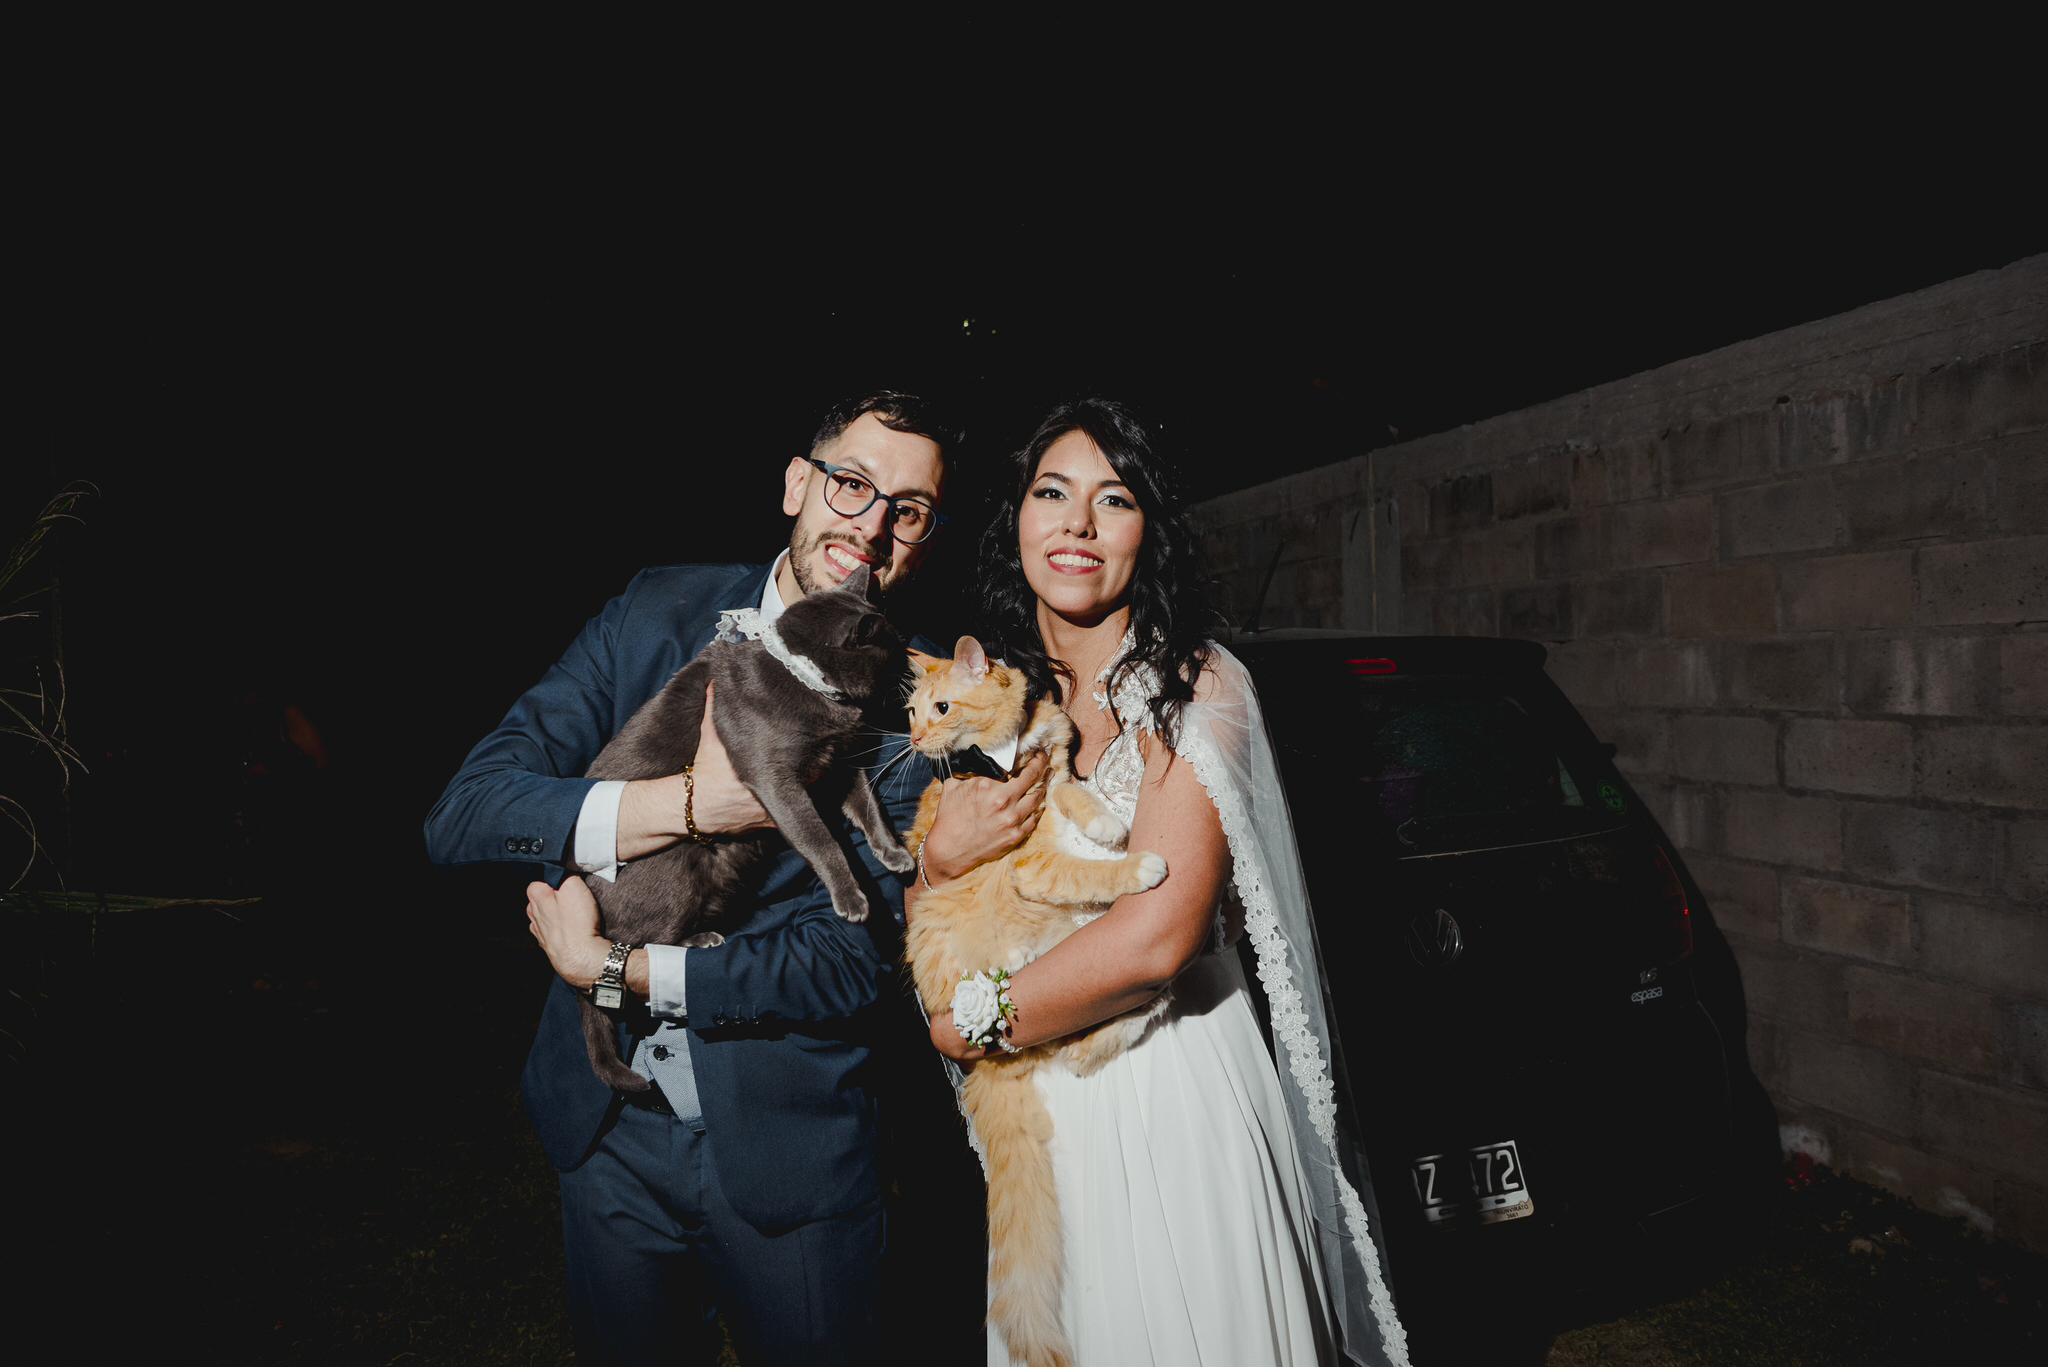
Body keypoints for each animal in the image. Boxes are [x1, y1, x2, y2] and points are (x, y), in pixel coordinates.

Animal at [575, 562, 915, 1092]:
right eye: (894, 645)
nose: (914, 662)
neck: (806, 679)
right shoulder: (775, 778)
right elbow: (821, 838)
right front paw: (853, 899)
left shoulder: (839, 762)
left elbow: (869, 805)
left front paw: (892, 853)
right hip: (674, 864)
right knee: (634, 941)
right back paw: (700, 941)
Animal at [901, 636, 1173, 1367]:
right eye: (910, 711)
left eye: (939, 707)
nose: (914, 738)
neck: (1005, 751)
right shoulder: (1030, 864)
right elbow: (1086, 869)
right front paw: (1135, 865)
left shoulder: (1054, 773)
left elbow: (1076, 792)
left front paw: (1110, 824)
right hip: (1029, 991)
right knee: (1075, 1048)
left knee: (1086, 1046)